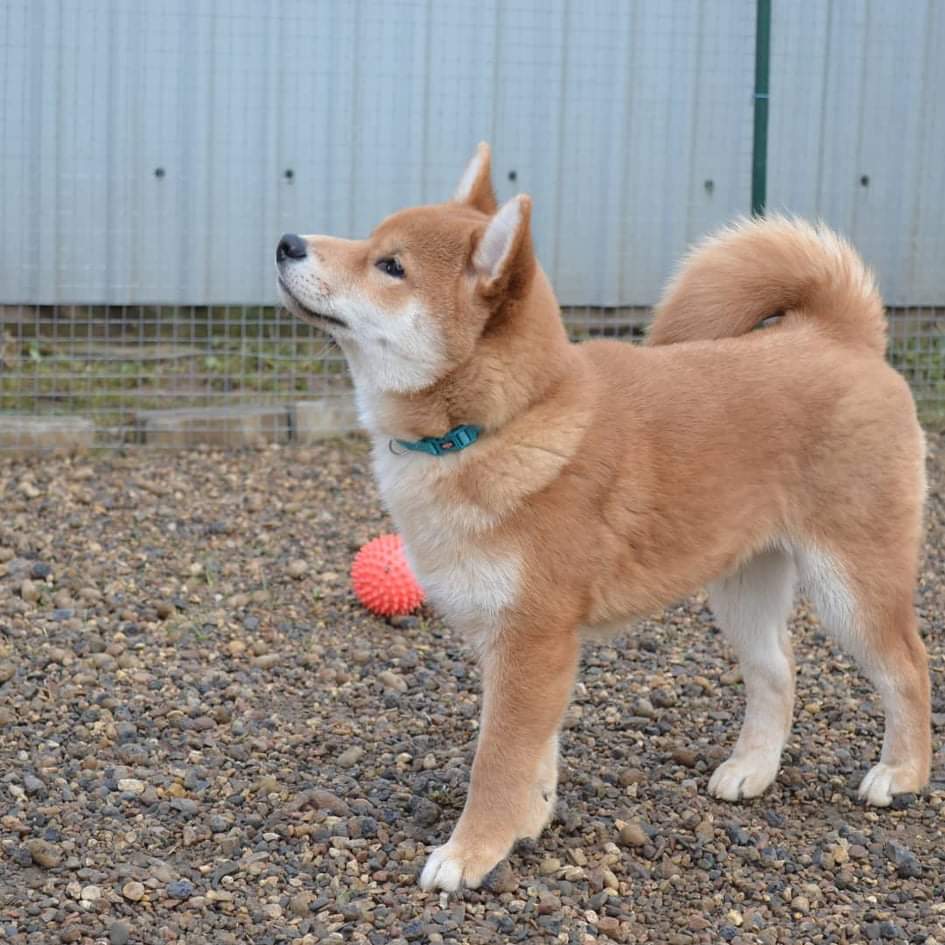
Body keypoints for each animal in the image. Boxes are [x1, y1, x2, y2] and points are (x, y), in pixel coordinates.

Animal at [274, 142, 928, 892]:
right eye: (371, 243)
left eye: (390, 266)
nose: (287, 241)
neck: (498, 424)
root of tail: (840, 338)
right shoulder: (520, 644)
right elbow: (534, 754)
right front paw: (526, 823)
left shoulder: (533, 639)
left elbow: (497, 759)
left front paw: (471, 851)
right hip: (742, 587)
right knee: (777, 673)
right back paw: (752, 770)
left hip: (852, 584)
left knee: (908, 668)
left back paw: (902, 774)